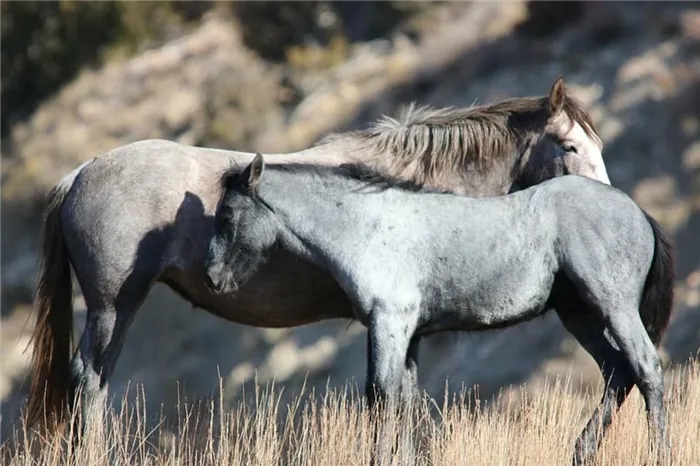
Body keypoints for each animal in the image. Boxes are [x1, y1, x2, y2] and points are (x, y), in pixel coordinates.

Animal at [26, 80, 608, 440]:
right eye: (569, 146)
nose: (608, 203)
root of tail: (79, 173)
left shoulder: (408, 329)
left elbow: (405, 402)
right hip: (112, 307)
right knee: (89, 383)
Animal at [205, 155, 676, 464]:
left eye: (228, 214)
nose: (212, 278)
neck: (367, 227)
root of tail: (638, 212)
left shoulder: (389, 323)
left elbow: (381, 395)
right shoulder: (408, 333)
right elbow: (405, 398)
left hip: (612, 306)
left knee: (646, 367)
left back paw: (659, 454)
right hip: (578, 314)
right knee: (617, 373)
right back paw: (582, 451)